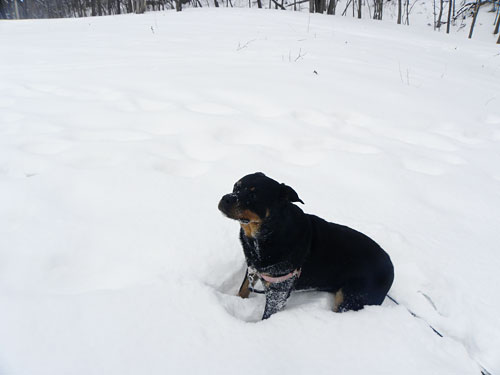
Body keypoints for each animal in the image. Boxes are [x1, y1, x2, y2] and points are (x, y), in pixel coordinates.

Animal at [219, 173, 394, 320]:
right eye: (235, 187)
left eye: (253, 195)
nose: (225, 198)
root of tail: (391, 269)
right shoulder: (253, 267)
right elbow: (243, 289)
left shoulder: (279, 290)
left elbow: (267, 315)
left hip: (351, 297)